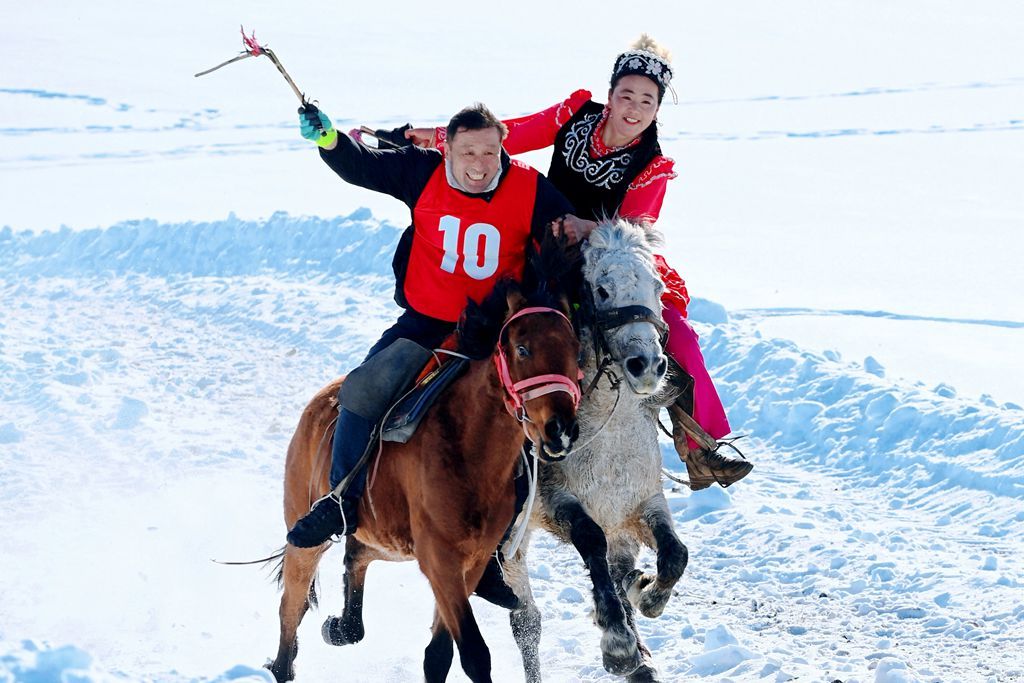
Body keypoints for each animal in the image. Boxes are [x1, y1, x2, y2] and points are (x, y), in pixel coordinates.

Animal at [268, 280, 581, 679]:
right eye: (523, 349)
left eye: (575, 350)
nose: (561, 430)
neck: (469, 447)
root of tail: (319, 402)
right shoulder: (440, 559)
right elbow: (474, 654)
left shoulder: (469, 562)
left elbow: (439, 653)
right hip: (304, 531)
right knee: (291, 607)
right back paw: (283, 665)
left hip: (389, 539)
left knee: (357, 555)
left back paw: (342, 625)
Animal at [497, 220, 688, 683]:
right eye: (601, 289)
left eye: (658, 286)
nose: (647, 366)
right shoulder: (557, 502)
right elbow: (590, 540)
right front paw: (618, 645)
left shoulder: (641, 503)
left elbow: (675, 554)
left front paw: (645, 594)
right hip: (514, 542)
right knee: (526, 621)